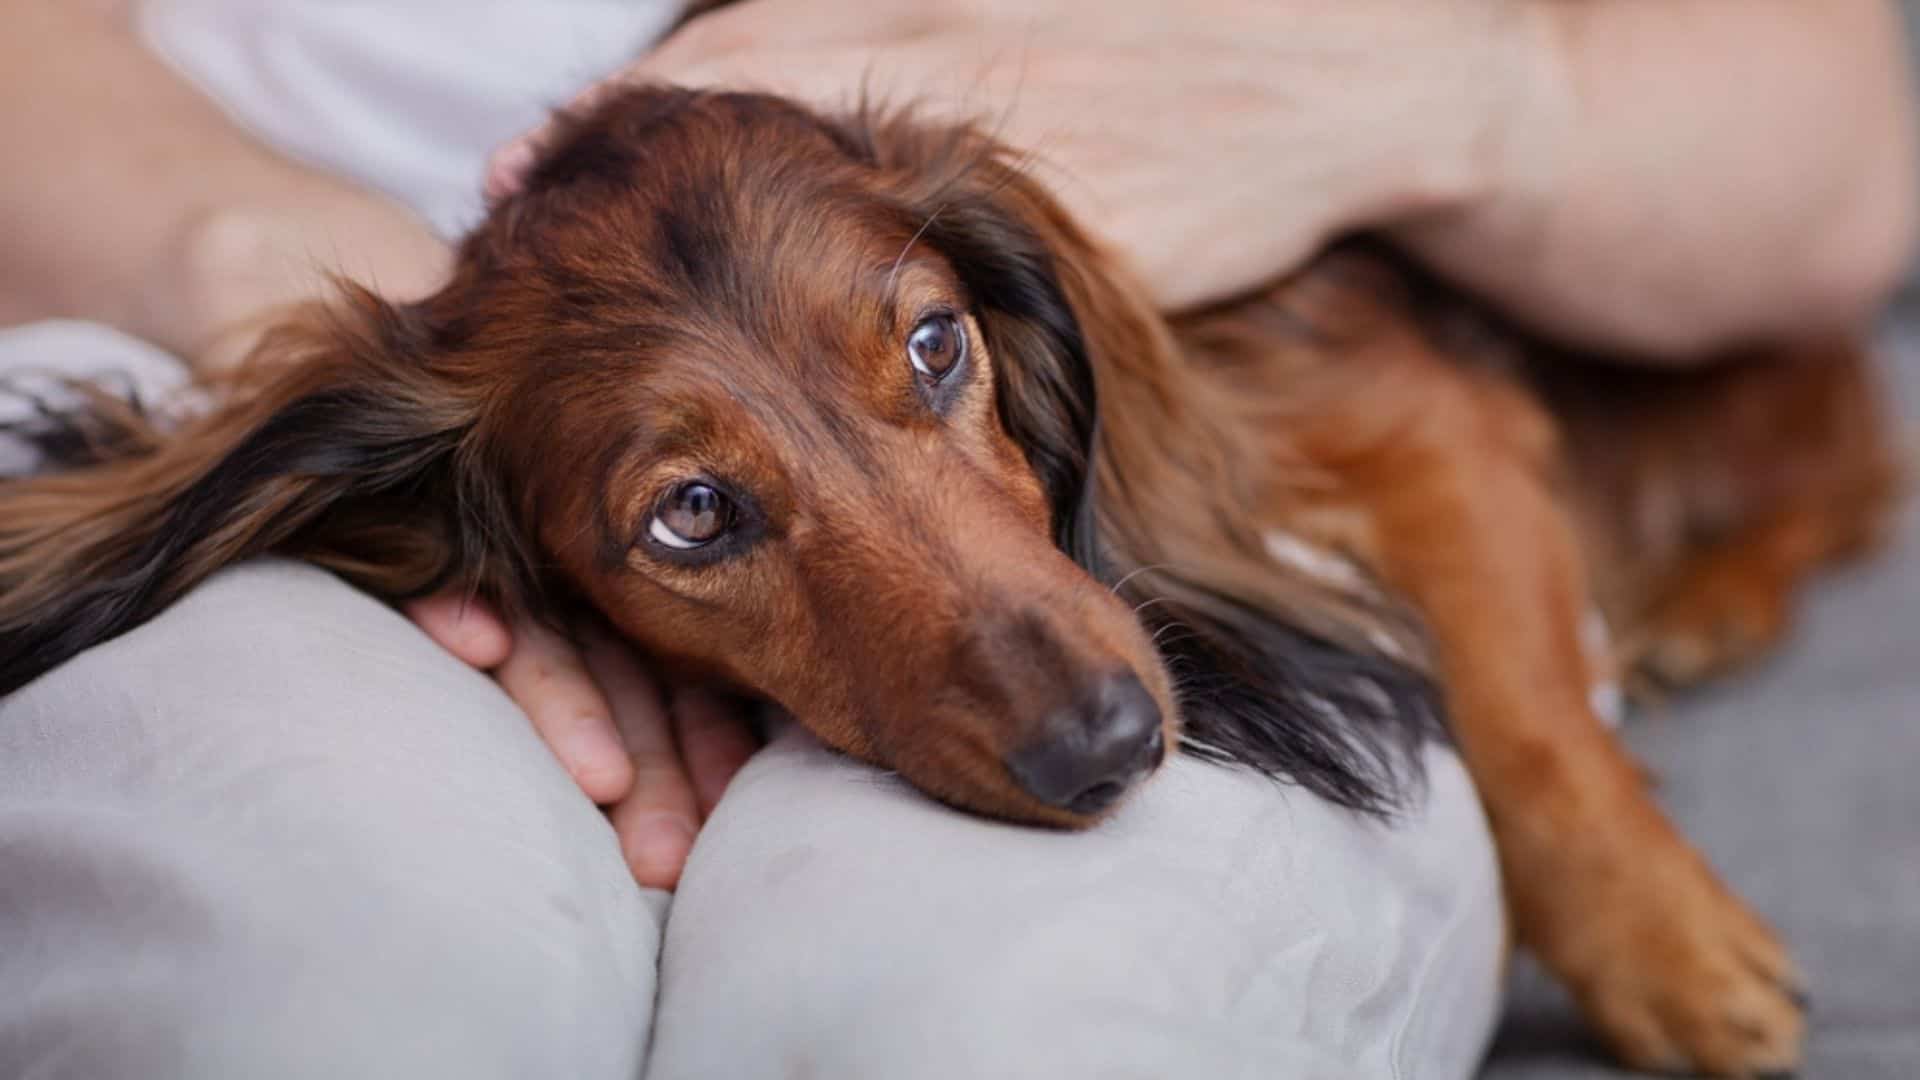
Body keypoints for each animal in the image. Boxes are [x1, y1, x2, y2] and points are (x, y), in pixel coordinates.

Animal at [0, 88, 1896, 1068]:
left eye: (933, 344)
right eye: (694, 515)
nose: (1111, 747)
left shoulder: (1419, 418)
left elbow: (1529, 722)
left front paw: (1671, 951)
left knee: (1853, 466)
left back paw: (1709, 597)